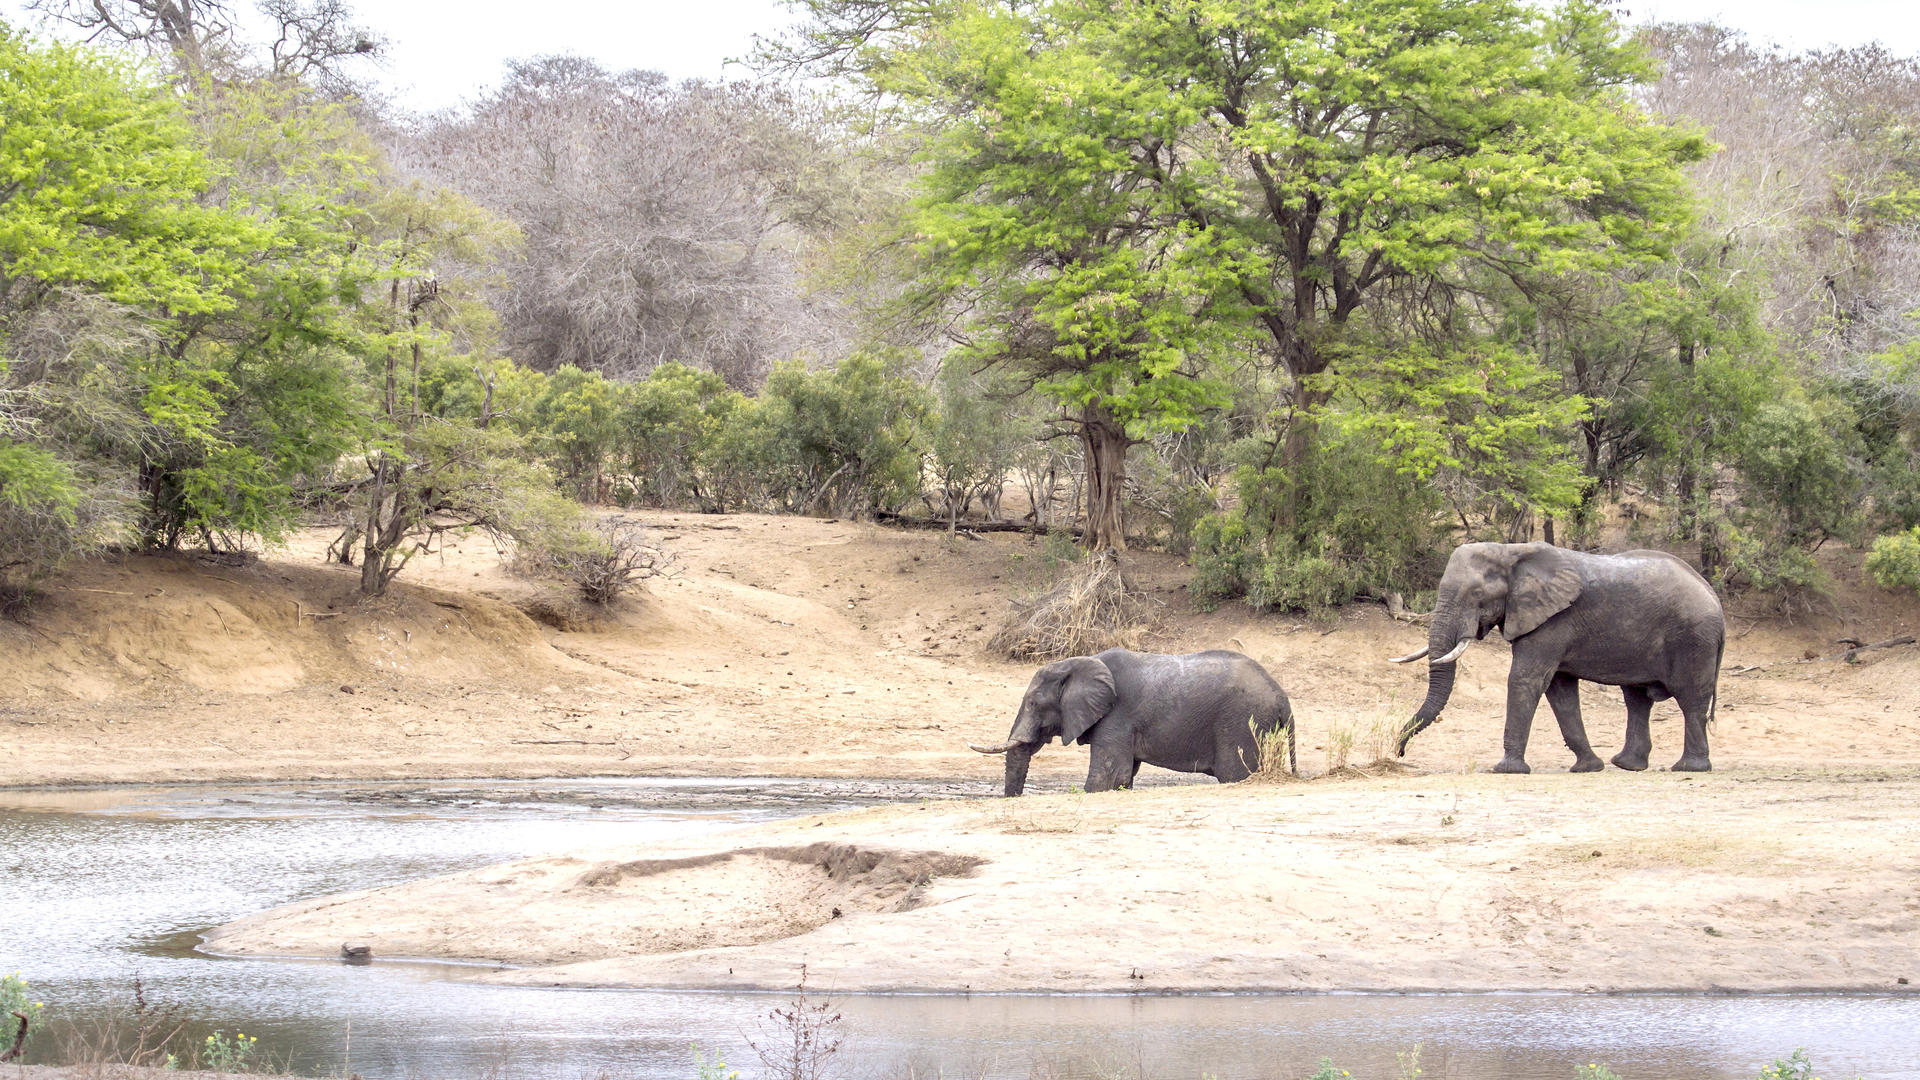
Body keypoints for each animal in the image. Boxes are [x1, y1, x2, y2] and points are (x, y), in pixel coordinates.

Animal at [969, 648, 1294, 796]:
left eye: (1033, 704)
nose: (1013, 799)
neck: (1079, 662)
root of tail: (1282, 695)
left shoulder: (1117, 717)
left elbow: (1107, 778)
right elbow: (1123, 778)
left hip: (1241, 722)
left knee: (1234, 773)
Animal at [1390, 541, 1725, 773]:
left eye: (1476, 595)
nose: (1399, 752)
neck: (1510, 551)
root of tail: (1714, 596)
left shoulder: (1553, 621)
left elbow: (1525, 679)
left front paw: (1507, 770)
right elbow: (1559, 690)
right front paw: (1588, 768)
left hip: (1694, 639)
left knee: (1690, 698)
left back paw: (1689, 768)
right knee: (1637, 698)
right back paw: (1627, 765)